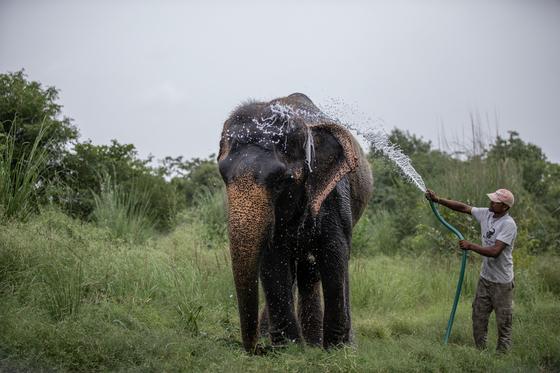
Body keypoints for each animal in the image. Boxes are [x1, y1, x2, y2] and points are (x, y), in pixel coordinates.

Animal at [218, 92, 372, 352]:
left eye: (282, 180)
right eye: (223, 176)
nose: (257, 350)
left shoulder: (333, 194)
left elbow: (334, 254)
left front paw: (338, 350)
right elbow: (273, 259)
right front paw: (288, 349)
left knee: (313, 271)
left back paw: (318, 344)